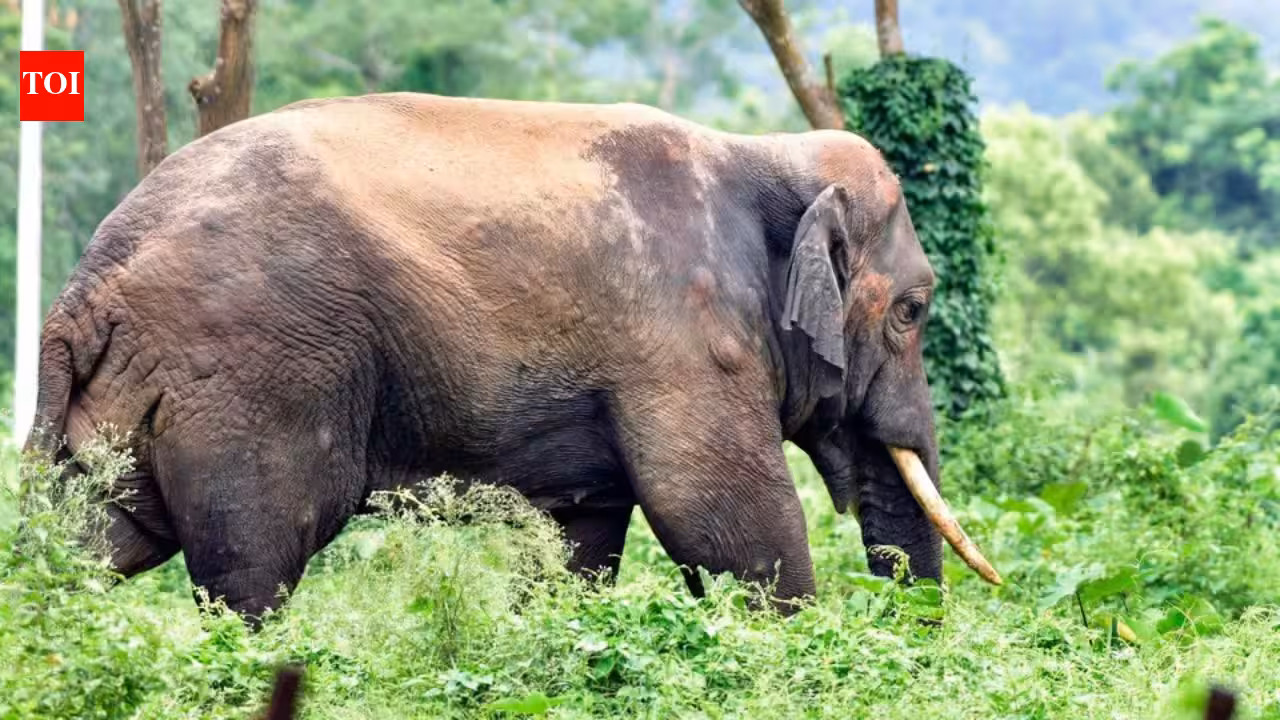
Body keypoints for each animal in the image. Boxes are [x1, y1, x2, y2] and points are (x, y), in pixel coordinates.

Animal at [26, 92, 999, 623]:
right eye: (913, 311)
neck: (765, 152)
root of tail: (84, 287)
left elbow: (582, 538)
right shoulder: (684, 340)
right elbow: (721, 519)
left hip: (134, 394)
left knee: (95, 541)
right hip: (251, 376)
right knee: (252, 567)